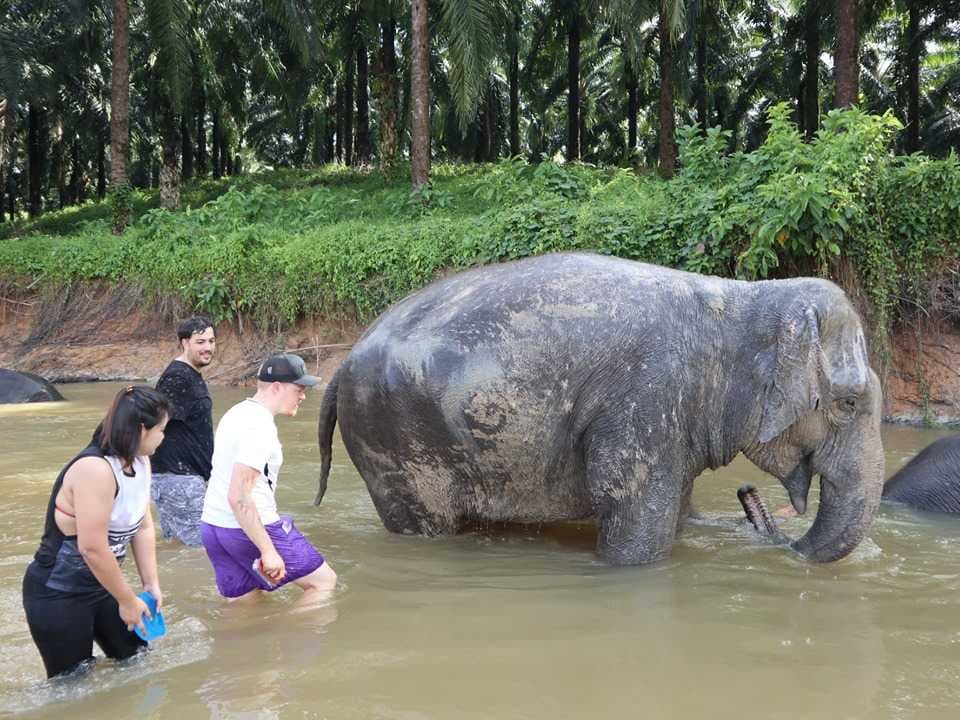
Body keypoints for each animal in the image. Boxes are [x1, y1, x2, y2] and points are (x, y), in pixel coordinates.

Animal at [315, 252, 884, 565]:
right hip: (396, 443)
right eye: (849, 402)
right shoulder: (648, 398)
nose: (749, 498)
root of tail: (341, 367)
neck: (741, 300)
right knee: (426, 524)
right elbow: (635, 525)